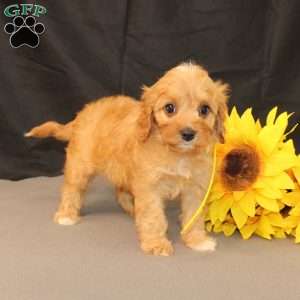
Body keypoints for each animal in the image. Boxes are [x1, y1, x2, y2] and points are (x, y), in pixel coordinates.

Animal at [25, 63, 229, 255]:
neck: (178, 154)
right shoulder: (150, 188)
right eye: (169, 108)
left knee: (120, 190)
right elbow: (153, 216)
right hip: (80, 166)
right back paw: (66, 215)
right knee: (72, 189)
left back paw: (132, 209)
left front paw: (197, 240)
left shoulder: (195, 188)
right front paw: (156, 244)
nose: (188, 134)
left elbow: (193, 216)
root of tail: (82, 114)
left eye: (204, 110)